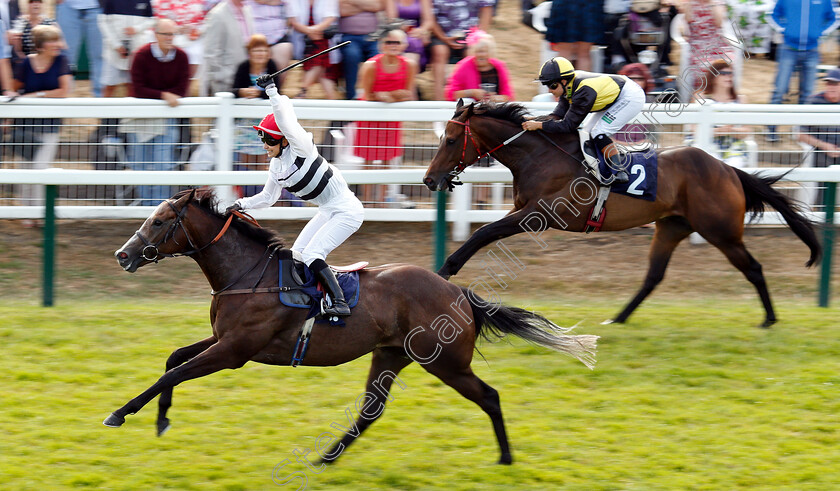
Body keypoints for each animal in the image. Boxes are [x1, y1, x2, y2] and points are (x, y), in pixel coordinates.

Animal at [103, 187, 596, 466]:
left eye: (160, 221)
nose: (123, 255)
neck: (248, 275)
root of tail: (458, 293)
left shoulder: (233, 352)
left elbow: (173, 372)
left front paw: (121, 414)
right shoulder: (225, 341)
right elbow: (174, 361)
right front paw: (161, 419)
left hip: (445, 363)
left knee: (489, 397)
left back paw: (507, 457)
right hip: (391, 354)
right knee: (370, 411)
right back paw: (325, 458)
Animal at [424, 100, 824, 328]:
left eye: (449, 140)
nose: (429, 179)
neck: (540, 156)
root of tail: (727, 168)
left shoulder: (536, 214)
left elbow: (482, 234)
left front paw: (445, 270)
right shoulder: (521, 209)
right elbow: (483, 233)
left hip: (721, 232)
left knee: (753, 268)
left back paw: (769, 319)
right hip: (671, 227)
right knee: (653, 276)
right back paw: (619, 317)